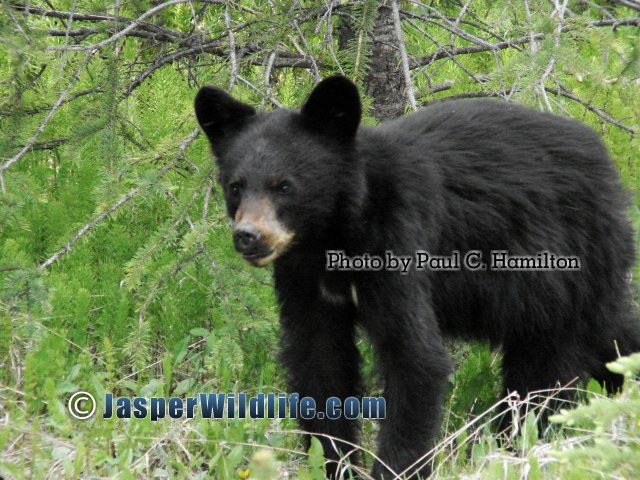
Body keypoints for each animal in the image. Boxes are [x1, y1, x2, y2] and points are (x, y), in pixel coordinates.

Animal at [194, 75, 640, 479]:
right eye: (236, 186)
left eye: (284, 186)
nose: (248, 236)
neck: (333, 236)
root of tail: (609, 169)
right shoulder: (303, 277)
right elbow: (318, 359)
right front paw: (333, 462)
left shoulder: (397, 239)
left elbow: (413, 356)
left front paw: (394, 467)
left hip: (565, 271)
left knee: (549, 371)